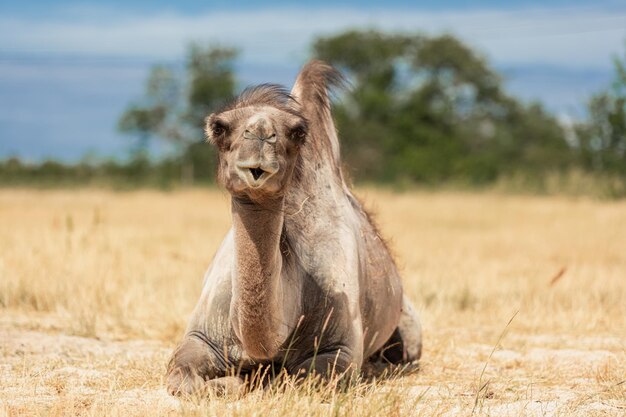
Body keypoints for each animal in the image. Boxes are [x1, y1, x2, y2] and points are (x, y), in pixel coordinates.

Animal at [165, 60, 420, 394]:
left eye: (297, 132)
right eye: (219, 127)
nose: (261, 133)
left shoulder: (340, 347)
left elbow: (292, 381)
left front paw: (244, 380)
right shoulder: (202, 334)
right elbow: (181, 377)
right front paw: (230, 381)